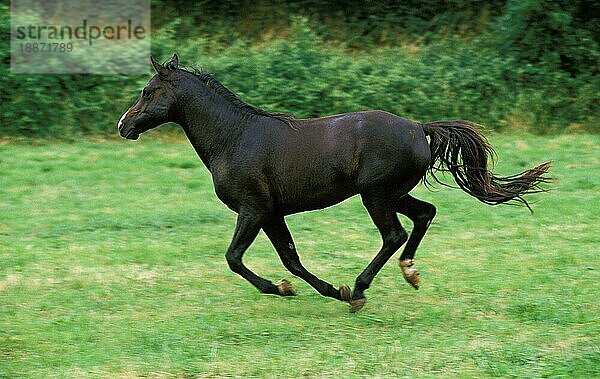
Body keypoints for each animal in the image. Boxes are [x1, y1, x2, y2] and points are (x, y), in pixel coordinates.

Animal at [116, 55, 548, 312]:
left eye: (148, 91)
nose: (123, 125)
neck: (234, 137)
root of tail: (418, 127)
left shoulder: (252, 209)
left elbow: (234, 258)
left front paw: (285, 289)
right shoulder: (271, 213)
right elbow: (291, 258)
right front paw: (321, 289)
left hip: (376, 195)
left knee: (394, 234)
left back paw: (360, 290)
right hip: (392, 192)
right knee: (425, 214)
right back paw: (408, 273)